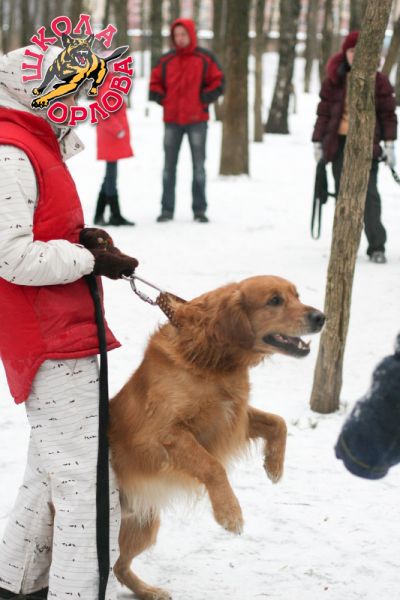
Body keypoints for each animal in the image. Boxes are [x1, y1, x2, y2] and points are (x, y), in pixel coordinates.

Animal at [109, 275, 325, 600]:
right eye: (275, 300)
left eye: (296, 296)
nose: (321, 317)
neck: (209, 355)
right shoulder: (167, 432)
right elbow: (213, 466)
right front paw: (230, 513)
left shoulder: (232, 415)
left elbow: (278, 422)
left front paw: (274, 466)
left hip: (143, 525)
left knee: (119, 566)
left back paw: (148, 591)